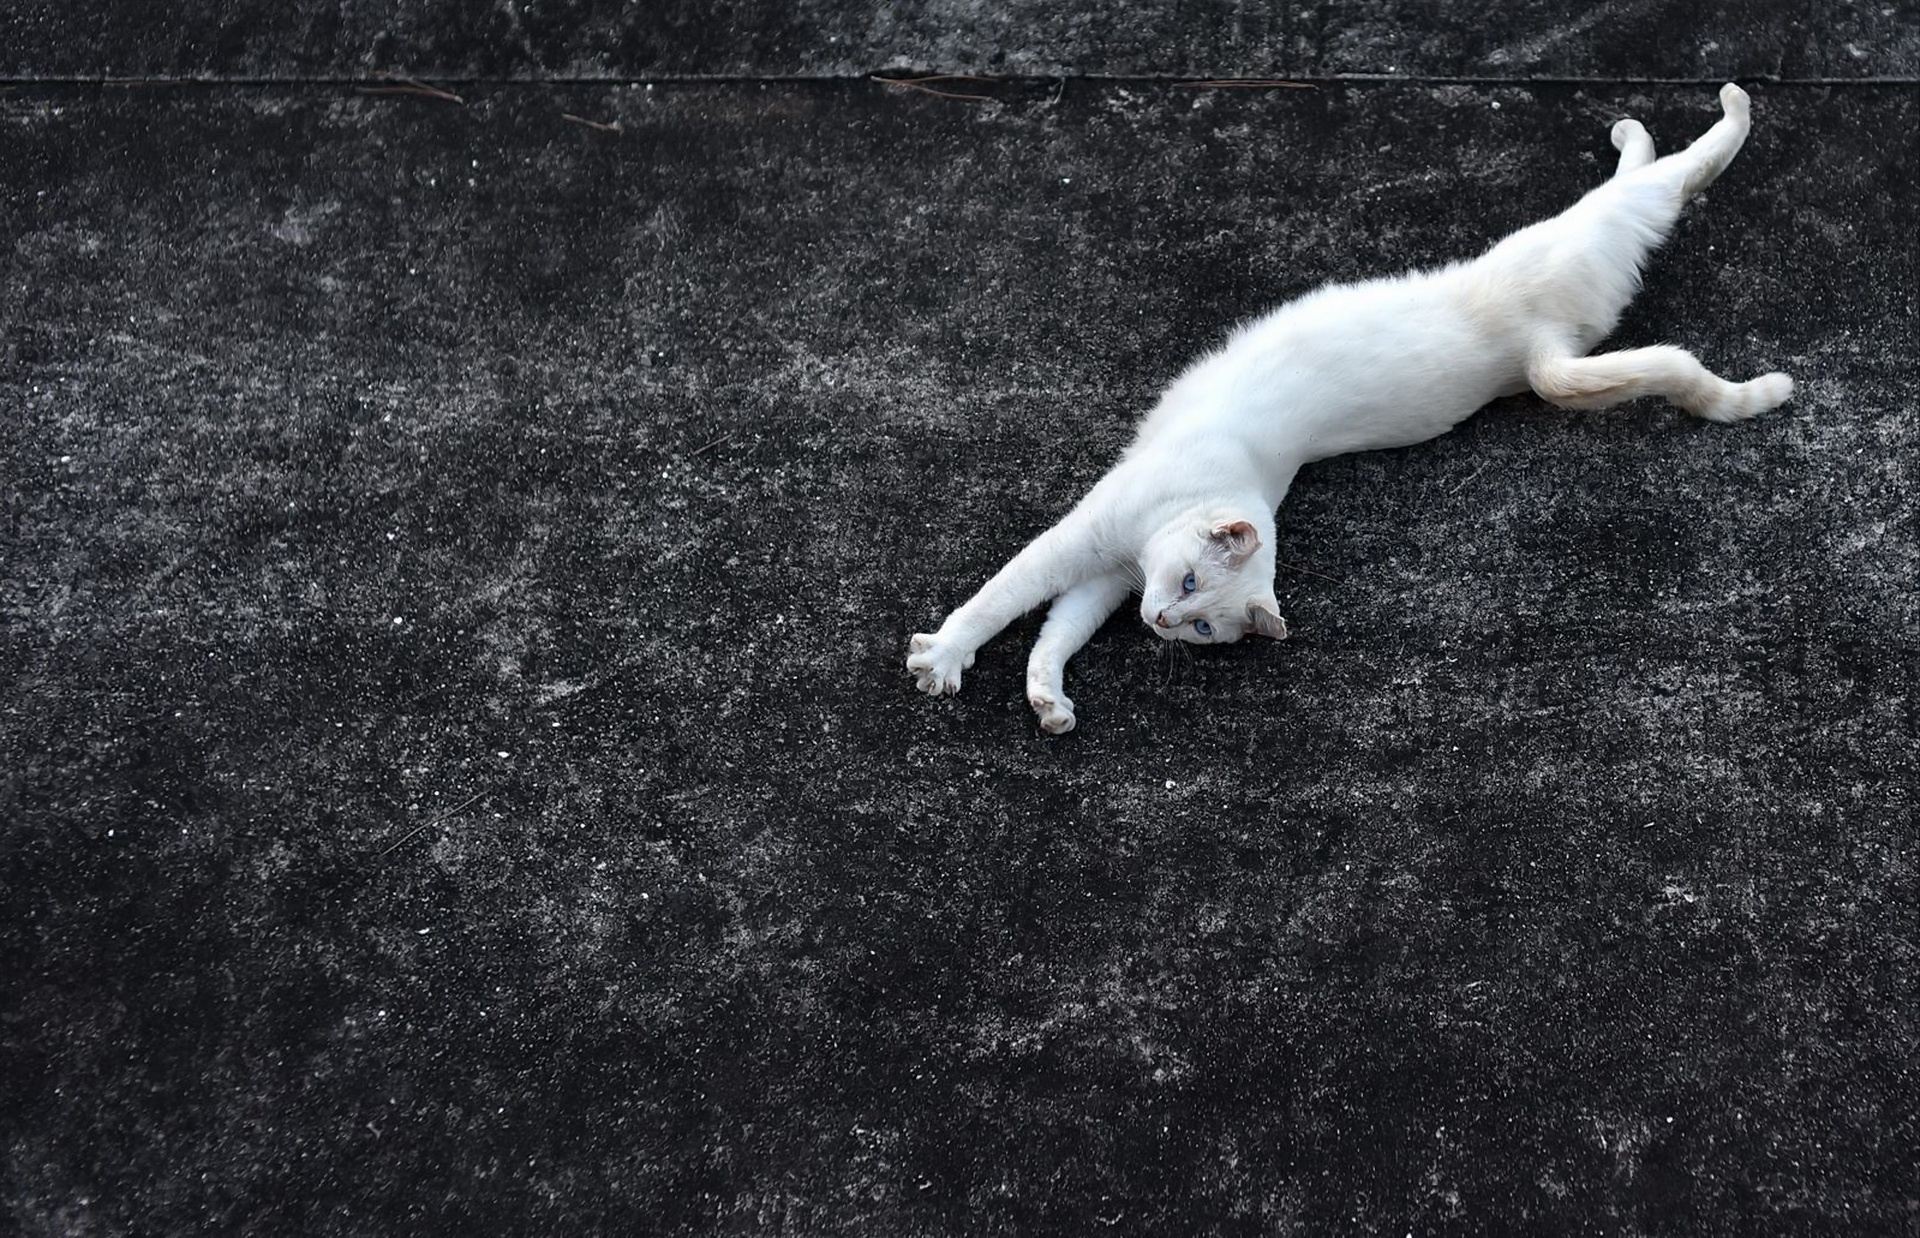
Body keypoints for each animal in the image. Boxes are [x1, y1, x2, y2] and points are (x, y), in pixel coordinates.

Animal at [907, 83, 1793, 734]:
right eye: (1187, 585)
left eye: (1202, 625)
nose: (1161, 621)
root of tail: (1529, 344)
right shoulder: (1099, 548)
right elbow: (1013, 601)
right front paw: (969, 663)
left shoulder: (1112, 567)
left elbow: (1048, 618)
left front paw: (1029, 689)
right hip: (1583, 243)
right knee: (1662, 176)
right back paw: (1683, 117)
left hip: (1588, 292)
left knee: (1668, 183)